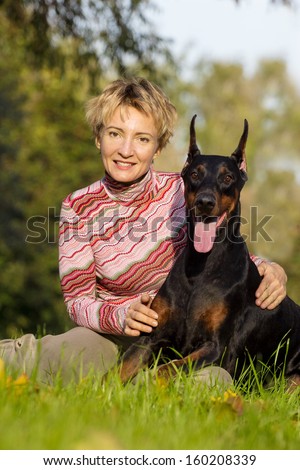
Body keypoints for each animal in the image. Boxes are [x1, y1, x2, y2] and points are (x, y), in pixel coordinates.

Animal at [118, 115, 300, 388]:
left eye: (227, 178)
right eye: (195, 174)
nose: (205, 202)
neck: (201, 265)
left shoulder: (216, 348)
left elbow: (166, 369)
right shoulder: (152, 335)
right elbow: (119, 369)